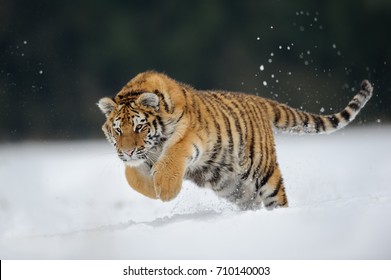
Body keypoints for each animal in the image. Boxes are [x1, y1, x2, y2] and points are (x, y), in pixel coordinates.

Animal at [98, 71, 374, 210]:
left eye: (140, 127)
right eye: (118, 130)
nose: (128, 152)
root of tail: (258, 100)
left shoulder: (188, 136)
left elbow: (173, 154)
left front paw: (164, 190)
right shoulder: (142, 158)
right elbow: (131, 177)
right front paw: (152, 189)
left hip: (266, 173)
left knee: (277, 199)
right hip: (232, 186)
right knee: (251, 201)